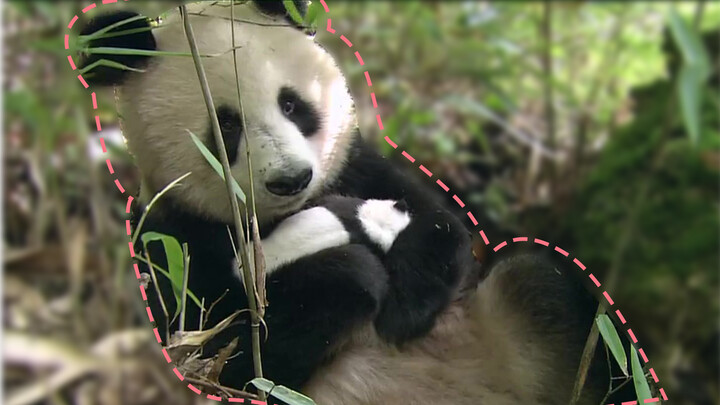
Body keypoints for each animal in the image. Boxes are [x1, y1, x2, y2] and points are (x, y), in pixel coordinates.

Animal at [80, 1, 620, 402]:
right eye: (226, 125)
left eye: (292, 103)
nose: (291, 179)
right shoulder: (171, 238)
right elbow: (225, 354)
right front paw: (349, 275)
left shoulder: (354, 169)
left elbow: (441, 227)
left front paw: (403, 307)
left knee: (541, 289)